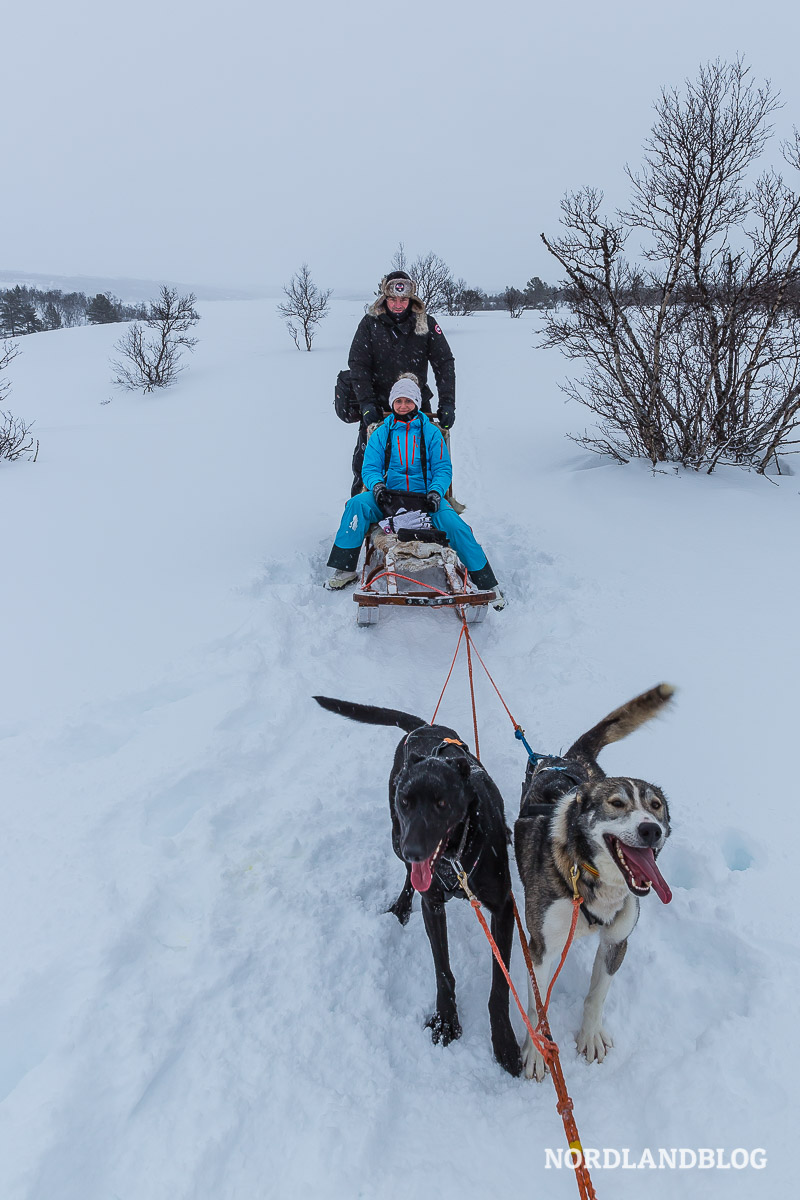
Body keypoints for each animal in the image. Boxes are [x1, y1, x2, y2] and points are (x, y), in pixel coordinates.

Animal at [311, 696, 525, 1080]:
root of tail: (424, 727)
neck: (455, 856)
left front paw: (503, 1042)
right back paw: (400, 906)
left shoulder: (503, 908)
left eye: (442, 803)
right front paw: (446, 1020)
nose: (414, 851)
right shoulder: (432, 905)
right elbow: (443, 971)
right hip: (394, 836)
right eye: (406, 800)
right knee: (406, 878)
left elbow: (499, 986)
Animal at [513, 681, 676, 1084]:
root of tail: (572, 760)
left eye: (656, 806)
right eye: (616, 804)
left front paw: (589, 1037)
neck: (588, 876)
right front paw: (537, 1053)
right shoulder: (539, 947)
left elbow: (597, 995)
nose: (651, 829)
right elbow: (538, 1006)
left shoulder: (617, 941)